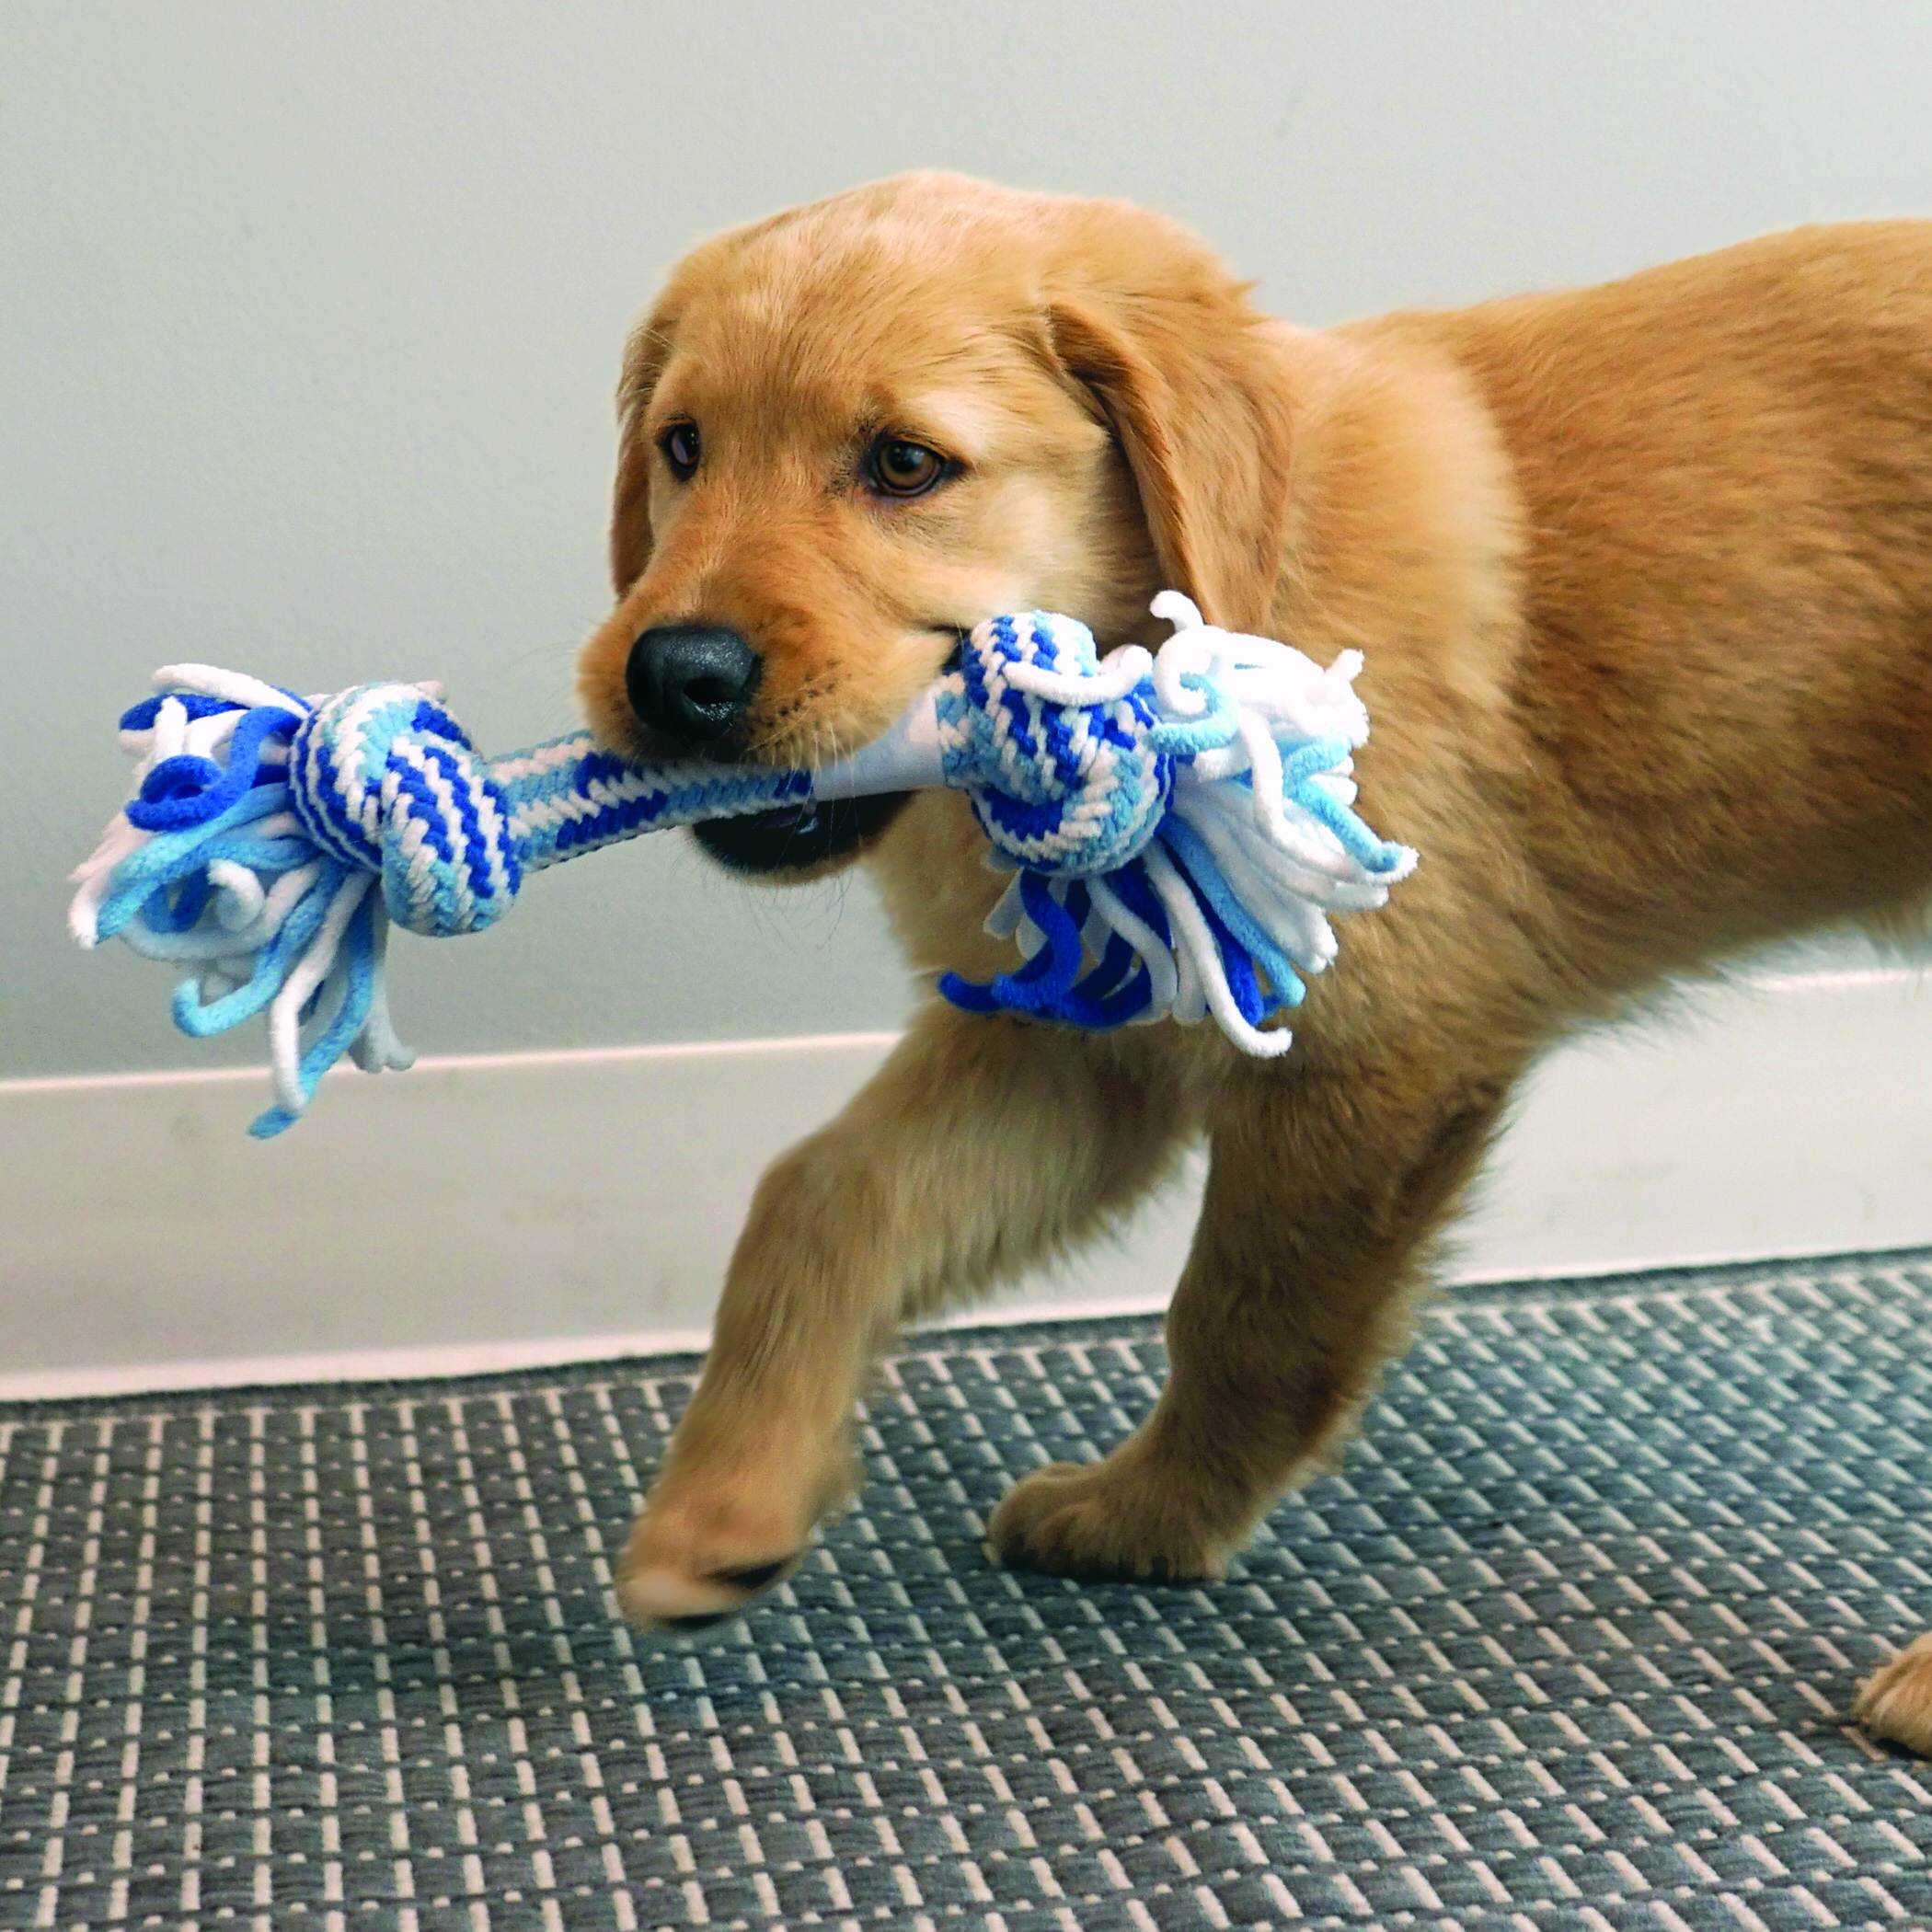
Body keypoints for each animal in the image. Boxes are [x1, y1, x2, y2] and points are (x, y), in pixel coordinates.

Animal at [571, 173, 1932, 1754]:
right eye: (683, 448)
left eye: (905, 464)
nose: (674, 676)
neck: (1157, 640)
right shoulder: (1075, 1049)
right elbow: (819, 1196)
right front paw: (723, 1504)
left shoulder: (1365, 1055)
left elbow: (1244, 1316)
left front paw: (1155, 1519)